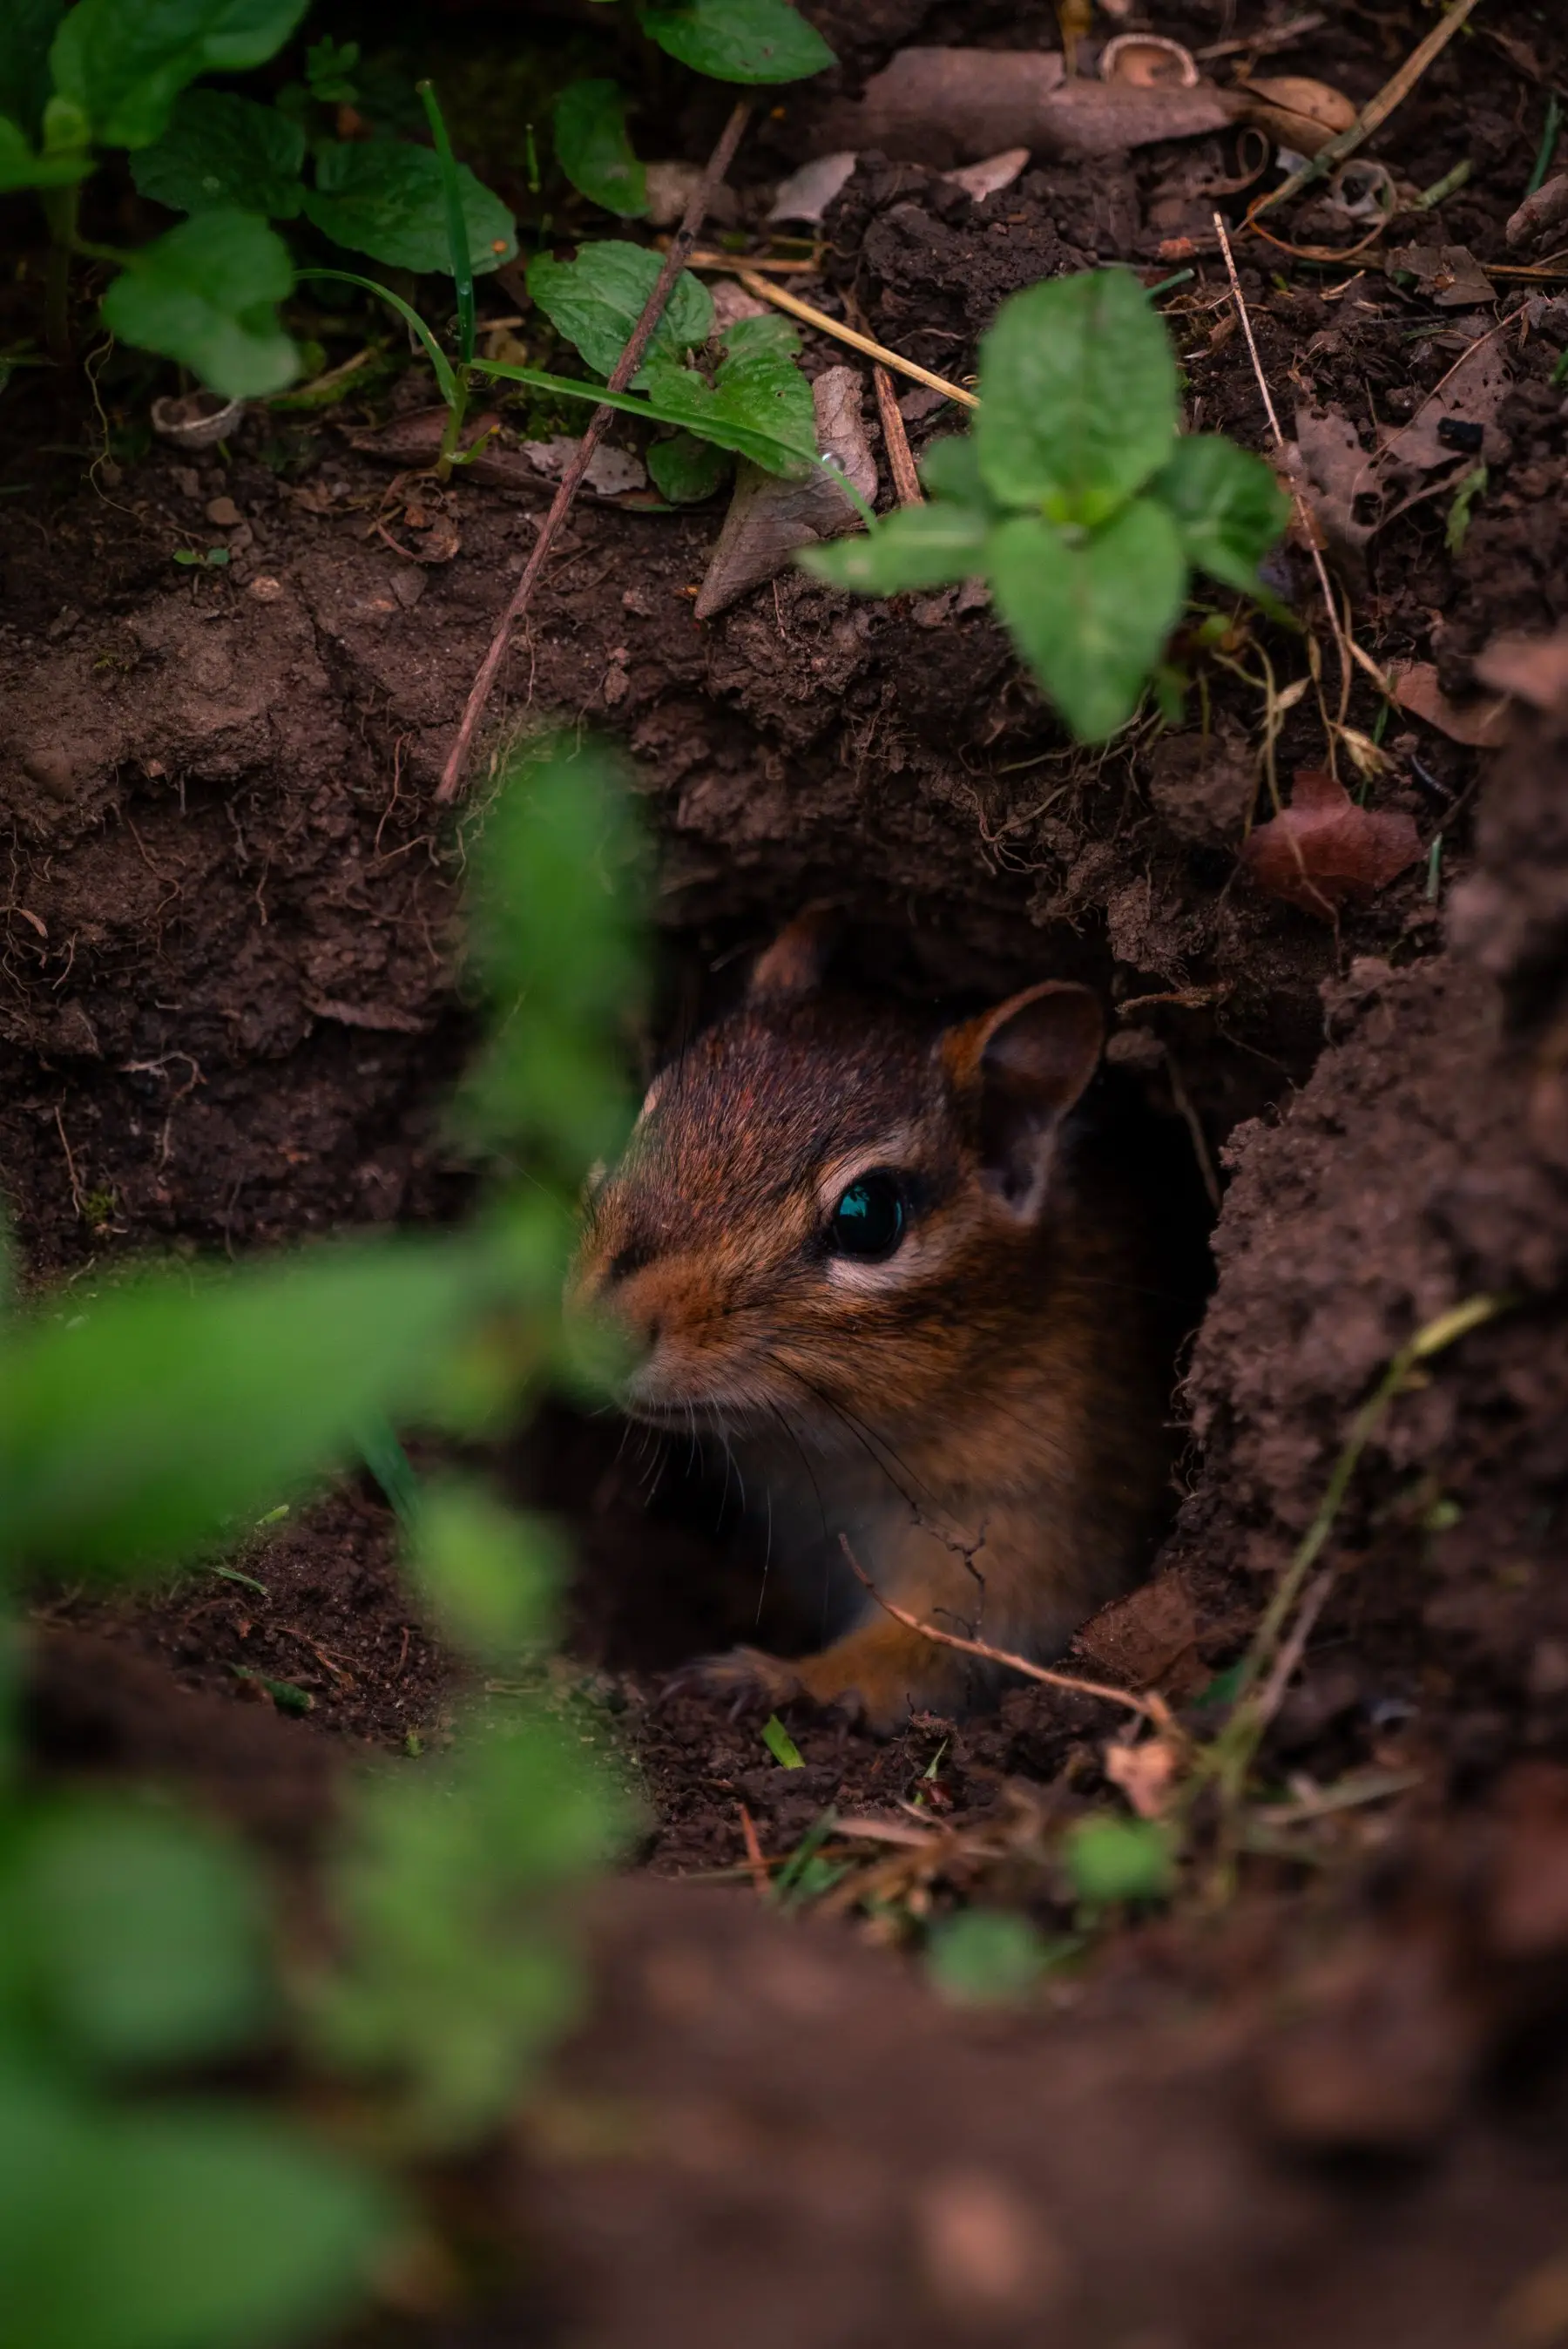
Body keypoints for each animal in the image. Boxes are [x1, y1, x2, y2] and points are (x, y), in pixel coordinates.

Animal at [568, 911, 1190, 1730]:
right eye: (641, 1115)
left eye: (869, 1216)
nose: (601, 1331)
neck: (825, 1459)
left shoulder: (1035, 1528)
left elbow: (932, 1654)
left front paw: (779, 1676)